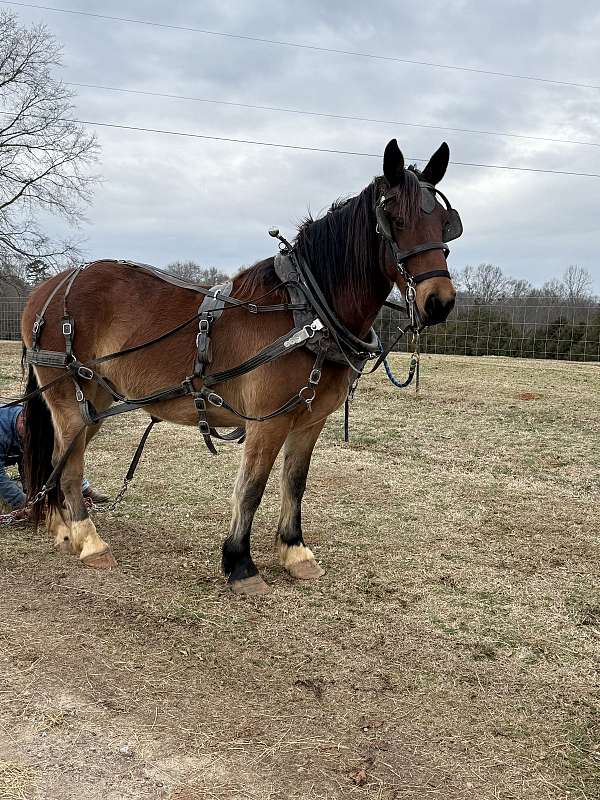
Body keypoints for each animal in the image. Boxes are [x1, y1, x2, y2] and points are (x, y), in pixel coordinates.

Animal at [21, 139, 458, 595]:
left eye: (445, 223)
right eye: (395, 220)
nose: (439, 302)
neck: (306, 311)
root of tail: (47, 289)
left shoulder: (310, 420)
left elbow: (294, 482)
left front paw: (294, 551)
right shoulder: (268, 420)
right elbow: (251, 488)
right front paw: (240, 564)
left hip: (95, 402)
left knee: (61, 458)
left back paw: (64, 528)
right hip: (69, 398)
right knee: (70, 467)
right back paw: (90, 541)